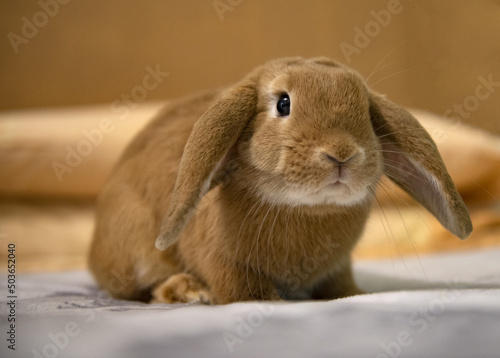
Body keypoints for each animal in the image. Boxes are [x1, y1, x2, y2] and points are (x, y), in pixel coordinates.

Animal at [90, 57, 472, 304]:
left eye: (366, 111)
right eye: (283, 104)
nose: (342, 154)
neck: (307, 209)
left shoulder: (338, 267)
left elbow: (340, 287)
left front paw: (357, 295)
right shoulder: (224, 262)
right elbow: (241, 291)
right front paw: (268, 300)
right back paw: (188, 291)